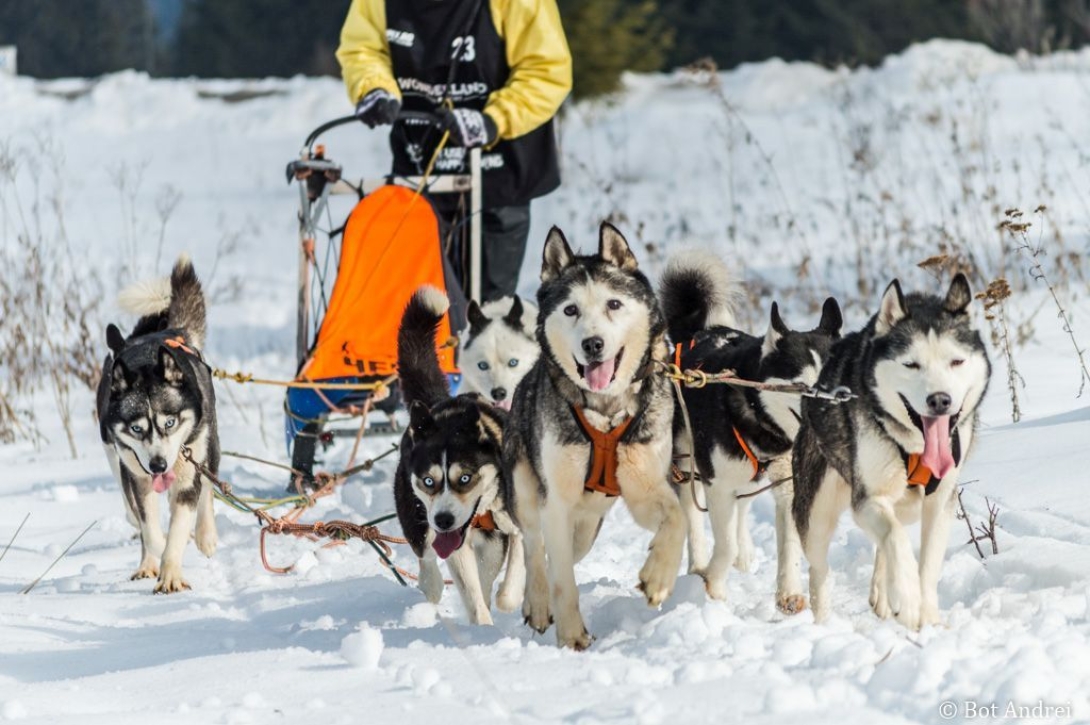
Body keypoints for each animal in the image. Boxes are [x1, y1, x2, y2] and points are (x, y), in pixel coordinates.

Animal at [98, 257, 219, 593]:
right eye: (137, 428)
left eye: (170, 421)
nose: (158, 465)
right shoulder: (136, 476)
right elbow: (149, 529)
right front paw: (158, 557)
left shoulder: (187, 473)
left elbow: (179, 524)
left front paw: (171, 574)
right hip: (116, 460)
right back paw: (146, 563)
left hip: (207, 445)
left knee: (208, 487)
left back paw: (205, 535)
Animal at [394, 283, 525, 623]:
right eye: (429, 481)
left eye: (465, 478)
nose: (443, 520)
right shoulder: (453, 539)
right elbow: (471, 591)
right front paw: (483, 625)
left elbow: (515, 565)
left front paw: (508, 598)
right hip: (415, 514)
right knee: (426, 553)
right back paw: (431, 585)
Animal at [501, 223, 680, 645]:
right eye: (571, 310)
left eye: (614, 304)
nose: (593, 344)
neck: (605, 412)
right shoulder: (556, 501)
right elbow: (563, 580)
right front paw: (571, 639)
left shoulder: (644, 485)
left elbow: (677, 517)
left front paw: (658, 577)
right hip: (528, 489)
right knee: (533, 546)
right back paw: (536, 604)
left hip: (585, 529)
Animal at [654, 250, 841, 610]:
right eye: (800, 386)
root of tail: (700, 332)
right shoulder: (716, 484)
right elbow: (722, 543)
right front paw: (712, 584)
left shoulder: (788, 486)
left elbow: (789, 546)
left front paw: (788, 592)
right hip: (685, 461)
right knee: (692, 514)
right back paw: (699, 564)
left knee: (741, 507)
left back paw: (744, 553)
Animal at [797, 274, 994, 632]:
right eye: (911, 364)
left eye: (956, 361)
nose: (940, 400)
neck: (915, 446)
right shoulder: (868, 499)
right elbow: (896, 539)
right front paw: (908, 598)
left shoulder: (939, 501)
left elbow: (927, 563)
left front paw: (928, 616)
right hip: (817, 514)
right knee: (820, 568)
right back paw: (823, 621)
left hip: (907, 504)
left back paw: (882, 594)